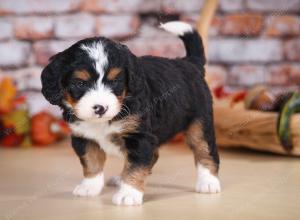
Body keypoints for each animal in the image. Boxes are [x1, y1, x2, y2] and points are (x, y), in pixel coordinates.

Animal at [40, 21, 220, 205]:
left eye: (115, 81)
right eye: (80, 83)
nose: (100, 108)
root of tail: (190, 63)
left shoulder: (139, 137)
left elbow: (135, 166)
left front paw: (129, 193)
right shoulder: (84, 137)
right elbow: (91, 162)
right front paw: (90, 187)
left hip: (199, 123)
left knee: (205, 150)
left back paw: (208, 182)